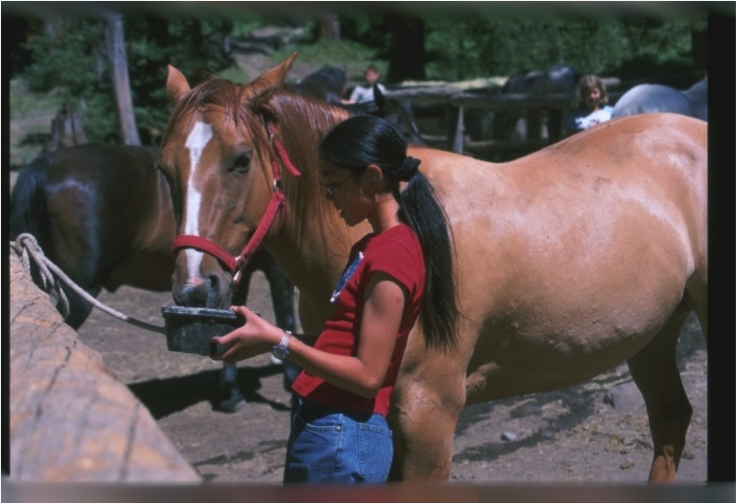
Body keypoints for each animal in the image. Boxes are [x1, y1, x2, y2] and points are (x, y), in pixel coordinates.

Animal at [160, 54, 708, 480]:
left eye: (241, 159)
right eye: (165, 169)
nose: (195, 289)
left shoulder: (430, 412)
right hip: (653, 335)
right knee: (670, 420)